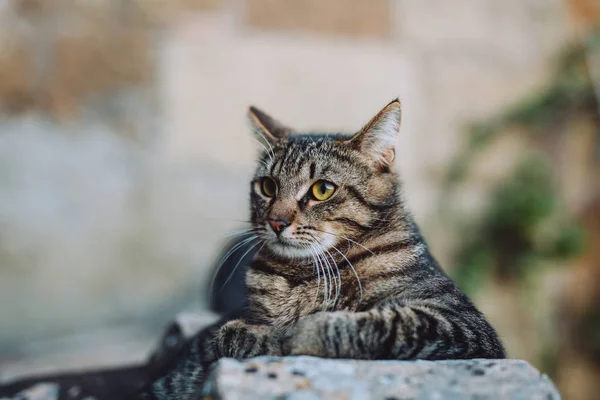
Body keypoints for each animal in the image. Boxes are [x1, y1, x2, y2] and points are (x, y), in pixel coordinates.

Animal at [132, 99, 506, 400]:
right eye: (267, 186)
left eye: (322, 190)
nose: (276, 222)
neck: (296, 276)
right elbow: (235, 336)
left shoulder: (459, 321)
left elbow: (373, 324)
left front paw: (292, 331)